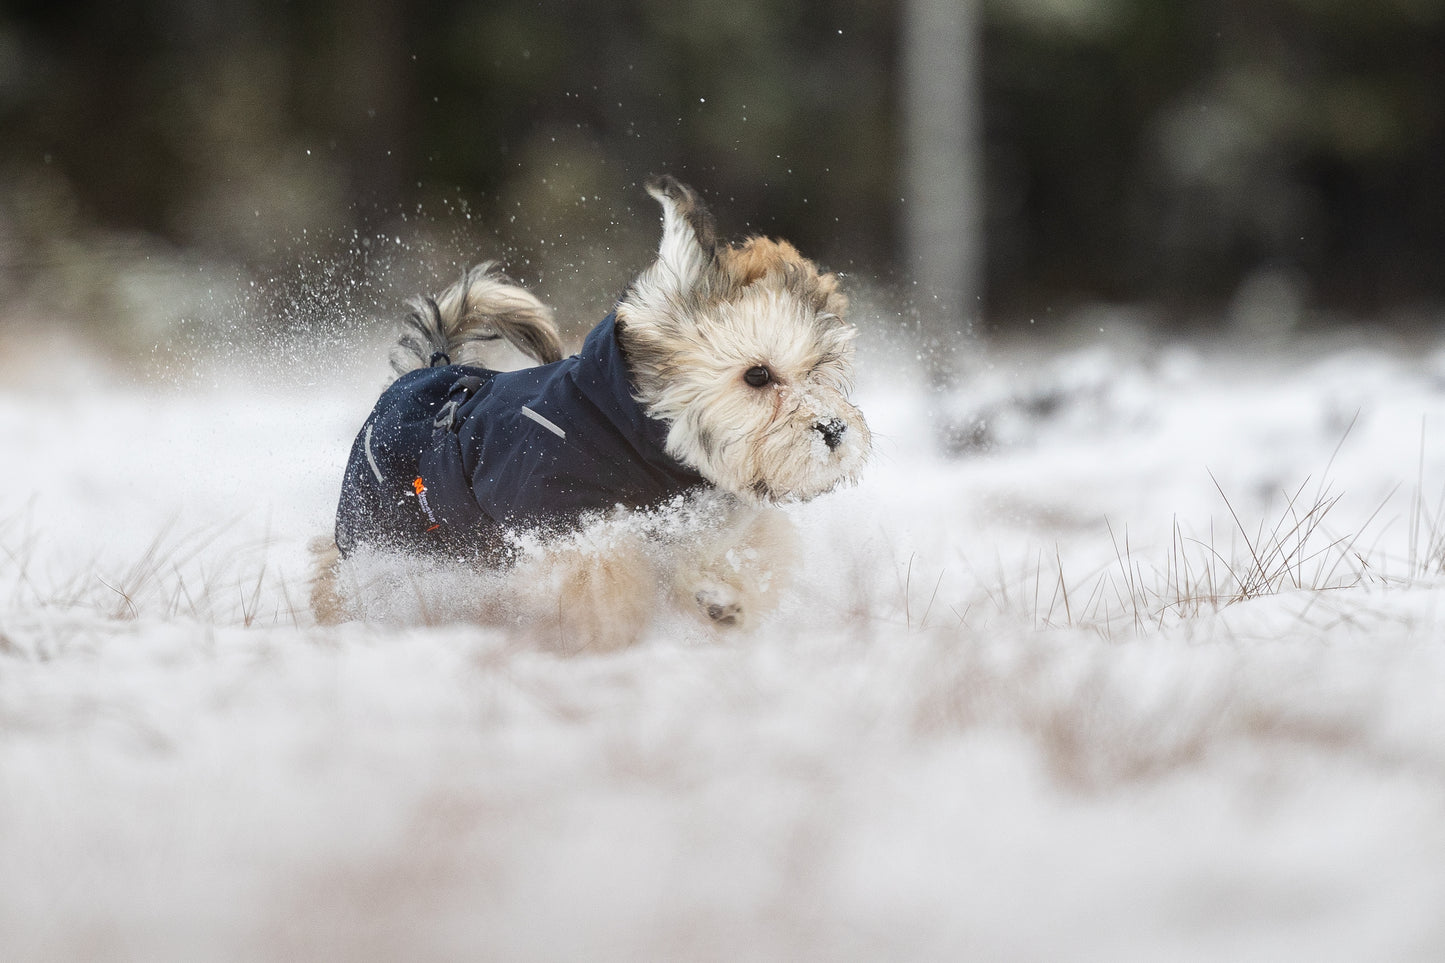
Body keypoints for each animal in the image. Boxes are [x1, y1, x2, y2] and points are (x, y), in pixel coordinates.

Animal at [312, 175, 867, 647]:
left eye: (820, 369)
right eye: (757, 375)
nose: (834, 430)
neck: (627, 427)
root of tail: (424, 372)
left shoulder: (700, 517)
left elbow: (738, 553)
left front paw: (720, 597)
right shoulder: (563, 526)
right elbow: (604, 579)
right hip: (383, 535)